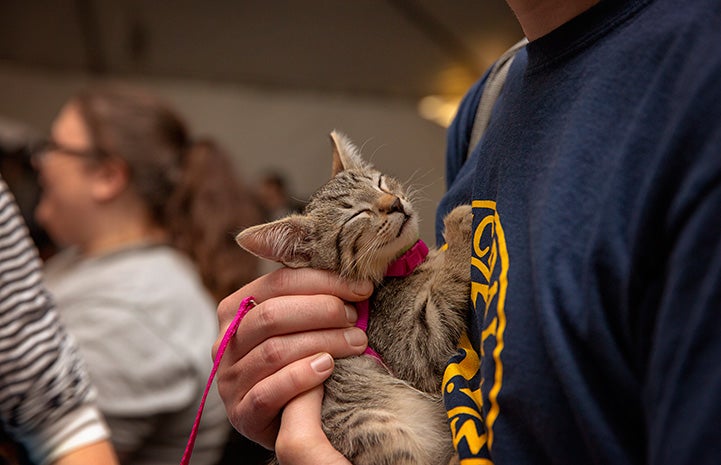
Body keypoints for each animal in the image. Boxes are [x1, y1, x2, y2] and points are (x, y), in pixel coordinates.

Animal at [238, 131, 472, 464]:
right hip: (376, 427)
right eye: (357, 215)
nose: (395, 203)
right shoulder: (414, 349)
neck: (407, 263)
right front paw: (458, 231)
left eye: (380, 183)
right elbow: (444, 297)